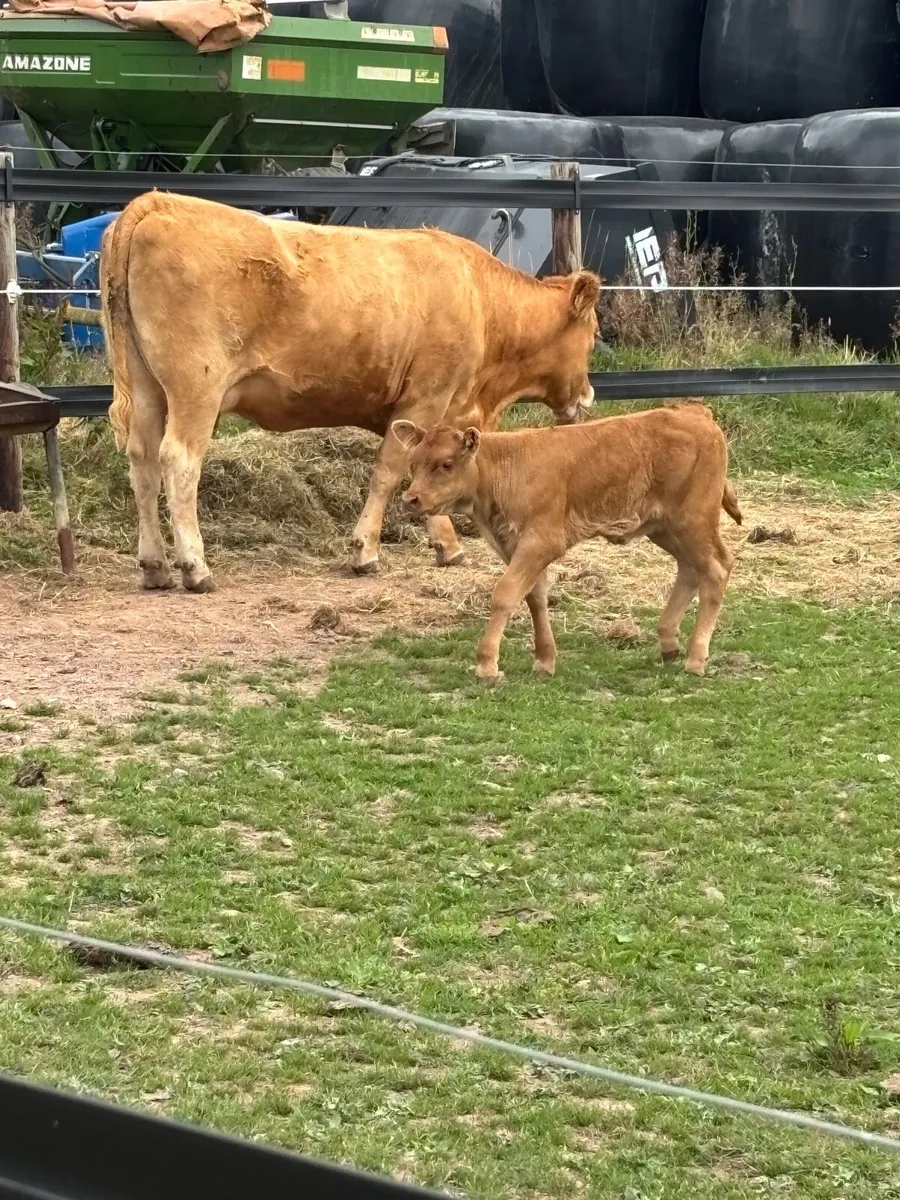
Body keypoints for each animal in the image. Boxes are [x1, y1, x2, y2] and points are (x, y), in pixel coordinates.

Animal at [100, 191, 601, 593]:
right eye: (594, 333)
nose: (589, 396)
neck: (482, 302)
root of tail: (158, 202)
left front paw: (446, 545)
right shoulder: (425, 398)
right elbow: (390, 471)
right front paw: (366, 552)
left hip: (147, 387)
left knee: (143, 459)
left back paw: (155, 566)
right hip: (196, 387)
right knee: (178, 460)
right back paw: (195, 567)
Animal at [394, 402, 742, 681]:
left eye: (446, 464)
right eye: (413, 462)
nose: (411, 499)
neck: (505, 467)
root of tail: (694, 412)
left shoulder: (542, 541)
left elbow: (505, 594)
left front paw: (487, 664)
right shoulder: (516, 546)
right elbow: (534, 597)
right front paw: (545, 660)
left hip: (693, 520)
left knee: (717, 567)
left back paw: (695, 658)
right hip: (666, 527)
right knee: (690, 569)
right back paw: (669, 644)